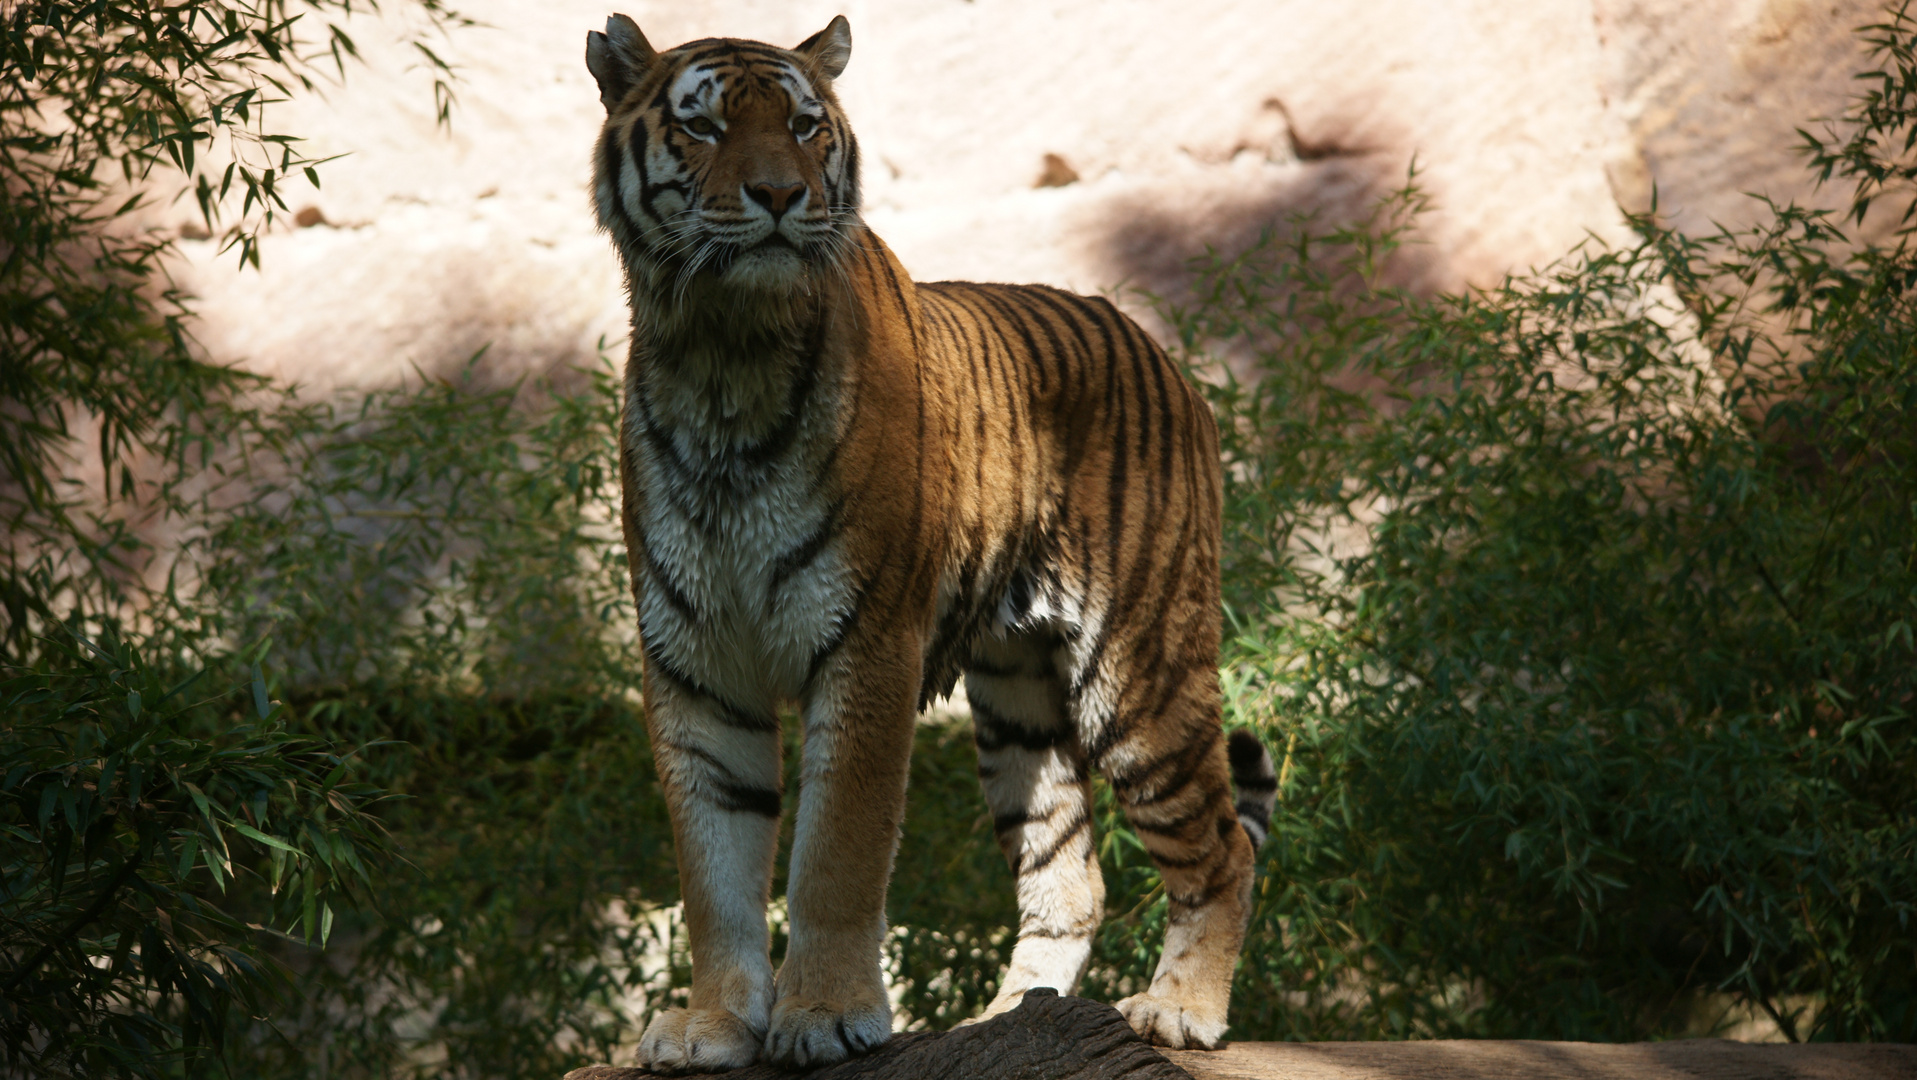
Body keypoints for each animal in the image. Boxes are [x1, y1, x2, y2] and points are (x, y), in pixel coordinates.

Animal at [582, 14, 1272, 1074]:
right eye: (701, 127)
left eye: (804, 125)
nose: (779, 194)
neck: (722, 355)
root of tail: (1155, 347)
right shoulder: (696, 667)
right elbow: (714, 869)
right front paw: (713, 1026)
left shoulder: (866, 643)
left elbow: (834, 855)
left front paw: (824, 1016)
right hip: (1020, 707)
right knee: (1069, 876)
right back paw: (1012, 1018)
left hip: (1139, 673)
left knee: (1221, 843)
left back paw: (1179, 1009)